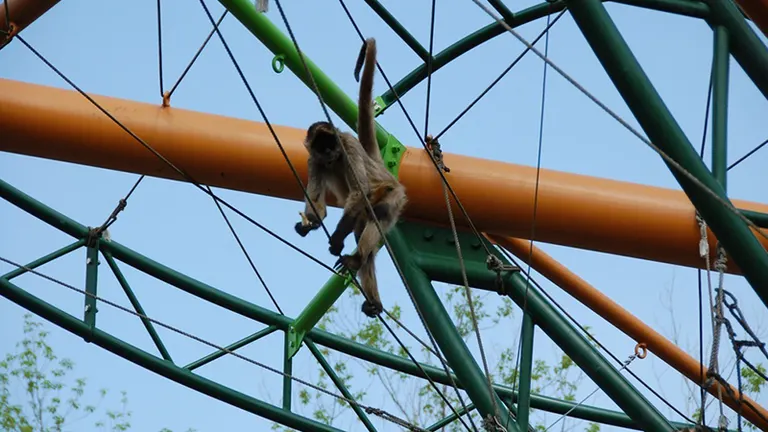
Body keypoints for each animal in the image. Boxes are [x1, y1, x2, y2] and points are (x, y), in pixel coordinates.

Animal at [294, 37, 408, 318]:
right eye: (320, 146)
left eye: (330, 143)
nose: (328, 151)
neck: (334, 159)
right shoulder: (313, 161)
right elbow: (319, 208)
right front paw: (308, 224)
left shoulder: (347, 145)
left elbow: (360, 191)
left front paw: (335, 240)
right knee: (362, 234)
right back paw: (372, 293)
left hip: (393, 194)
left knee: (379, 211)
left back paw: (355, 258)